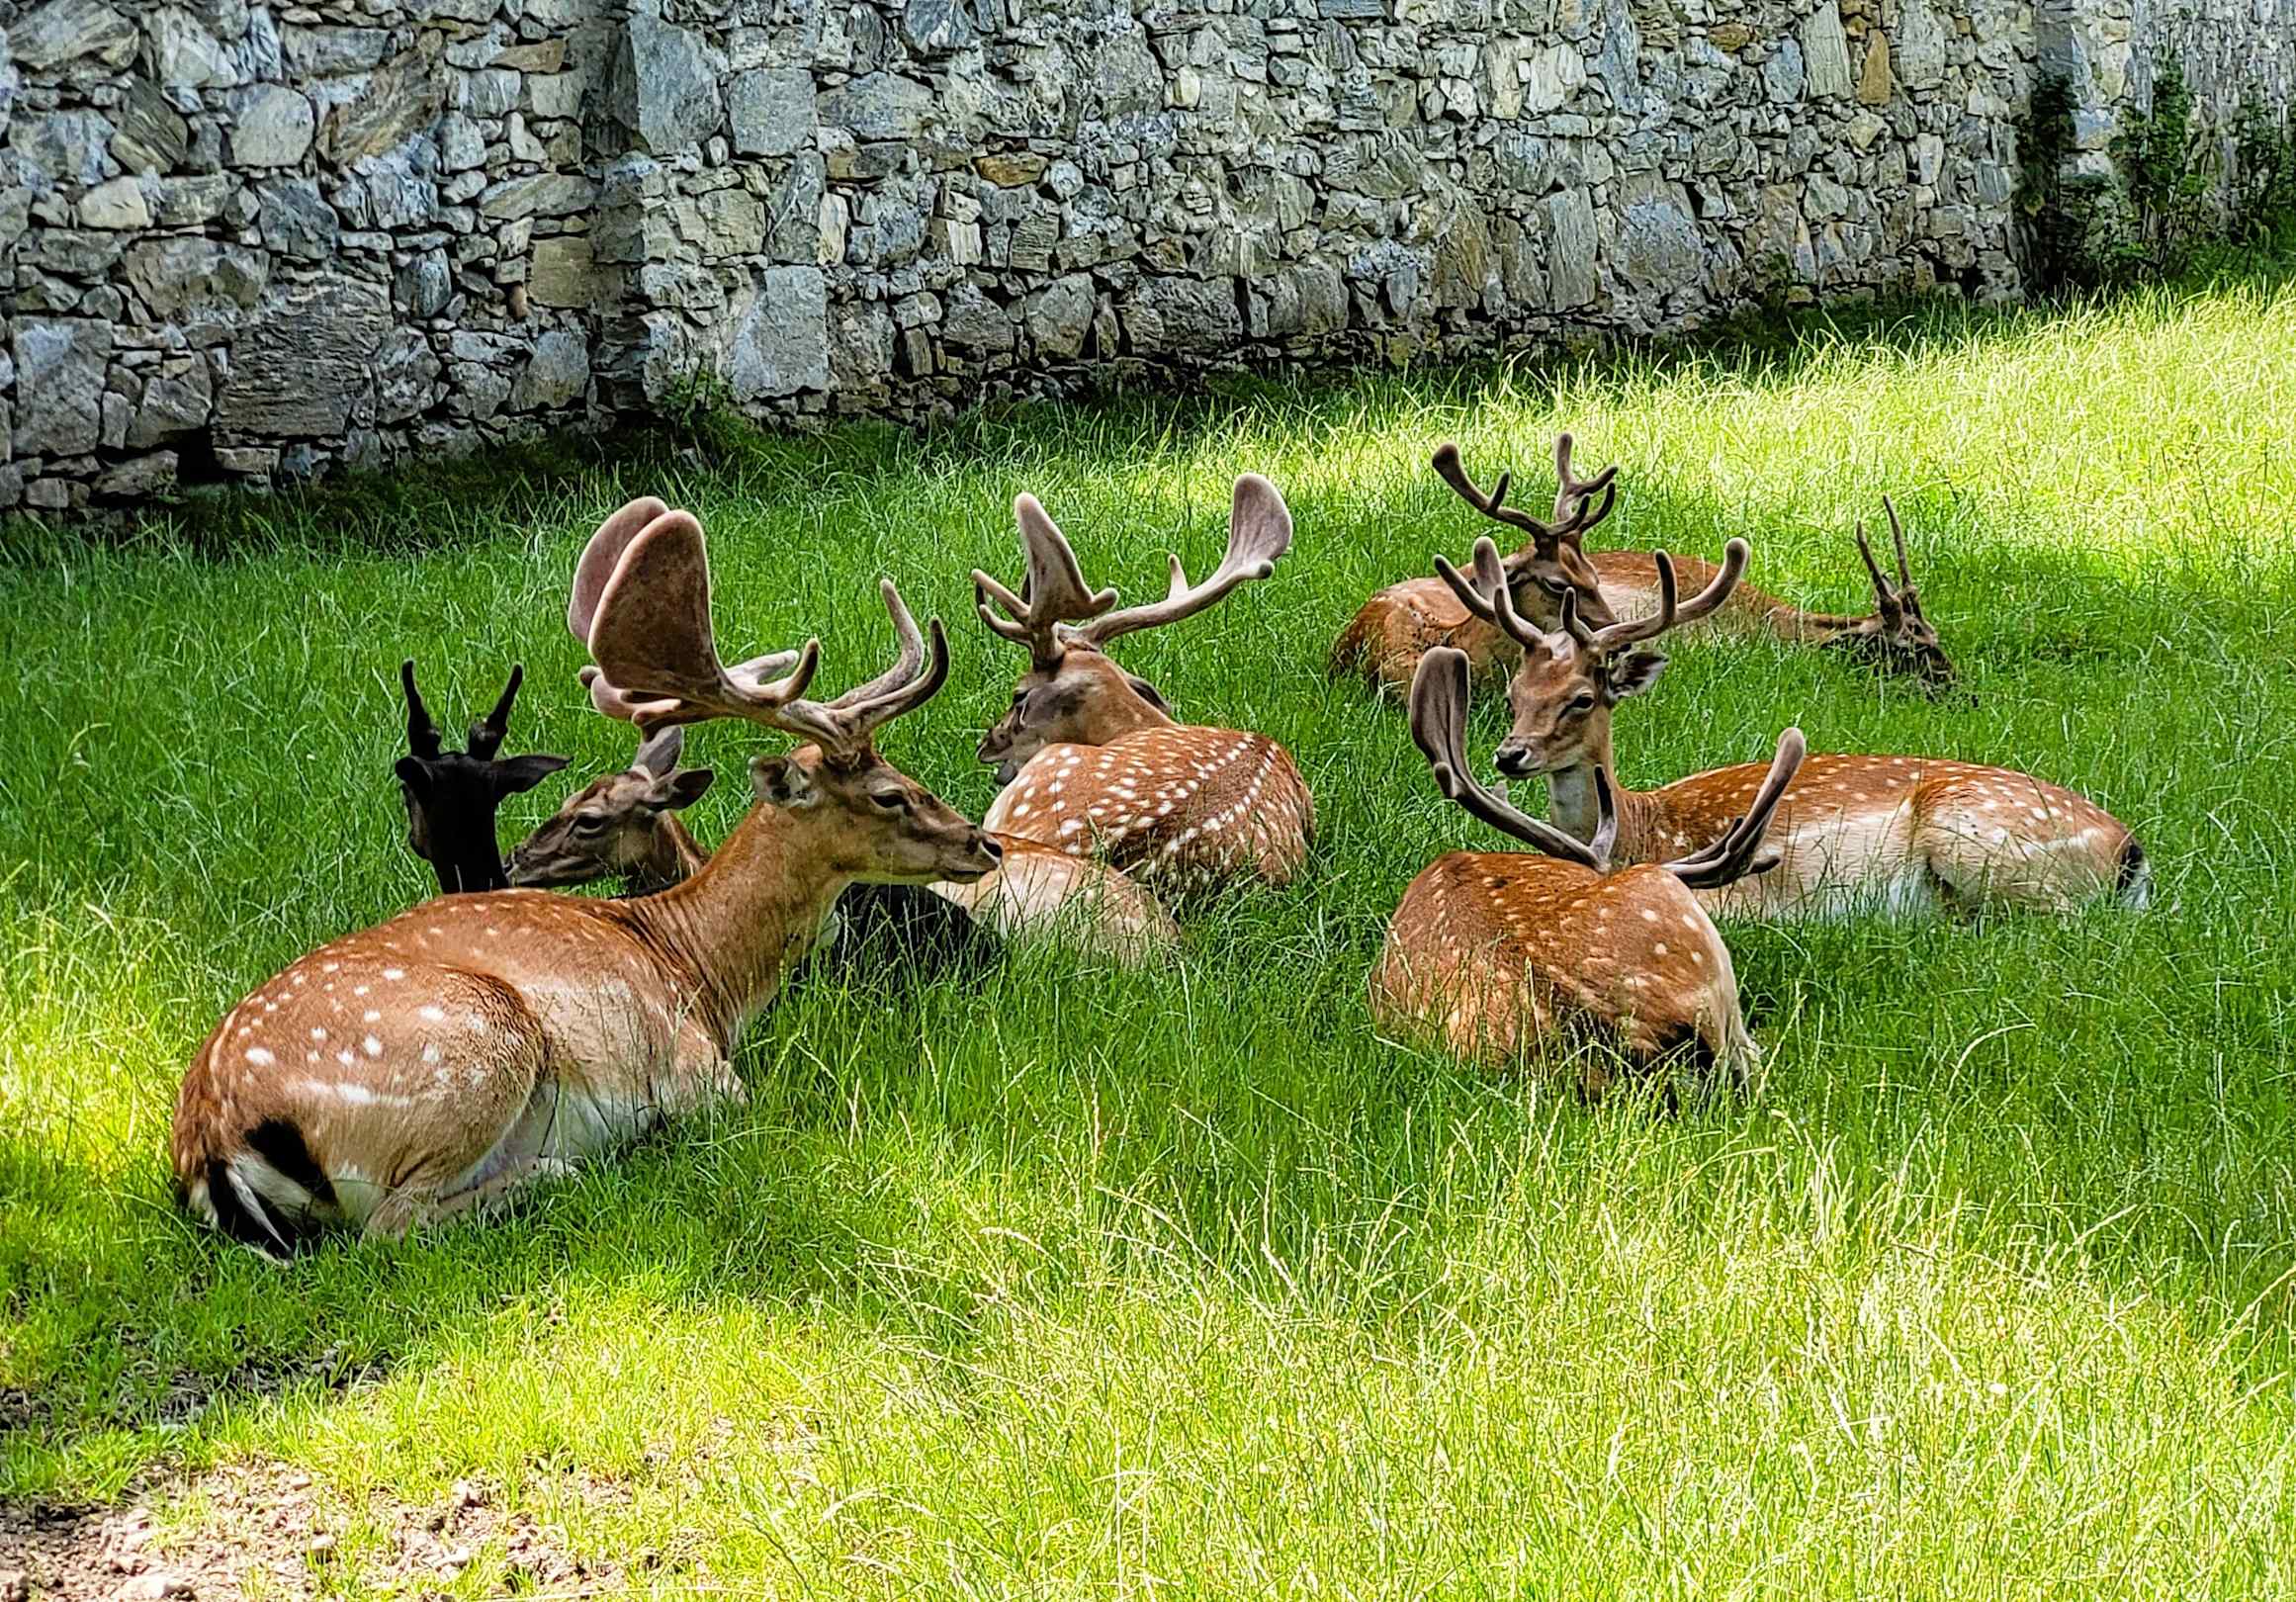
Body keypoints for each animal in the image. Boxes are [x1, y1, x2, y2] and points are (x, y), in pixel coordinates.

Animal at [1435, 534, 2146, 921]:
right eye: (1515, 693)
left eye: (1582, 699)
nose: (1509, 754)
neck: (1640, 826)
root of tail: (2129, 852)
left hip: (1982, 842)